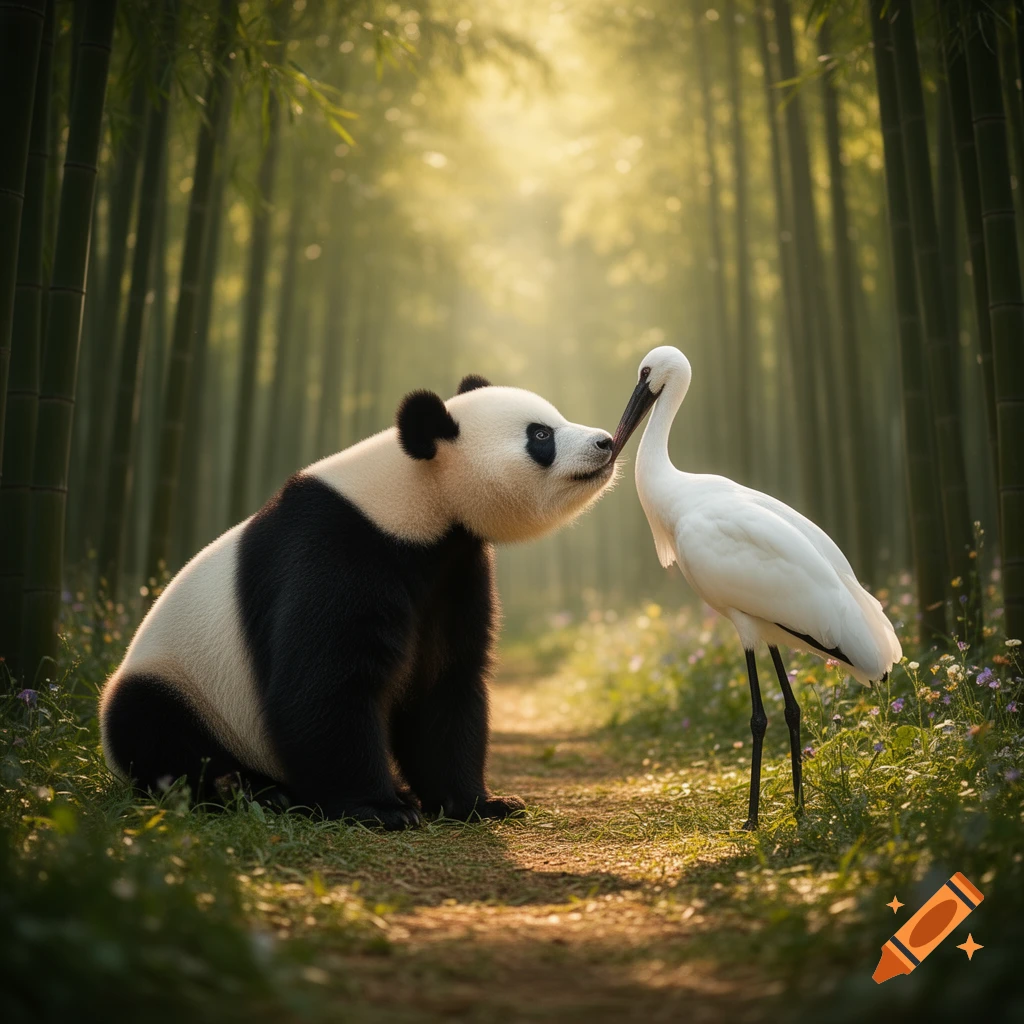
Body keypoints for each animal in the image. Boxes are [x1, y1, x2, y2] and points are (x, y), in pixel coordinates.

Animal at [100, 375, 617, 829]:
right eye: (541, 434)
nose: (607, 441)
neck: (415, 495)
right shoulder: (337, 546)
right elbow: (326, 680)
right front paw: (379, 810)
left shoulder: (454, 570)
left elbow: (445, 681)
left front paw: (475, 803)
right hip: (184, 689)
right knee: (161, 735)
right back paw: (253, 791)